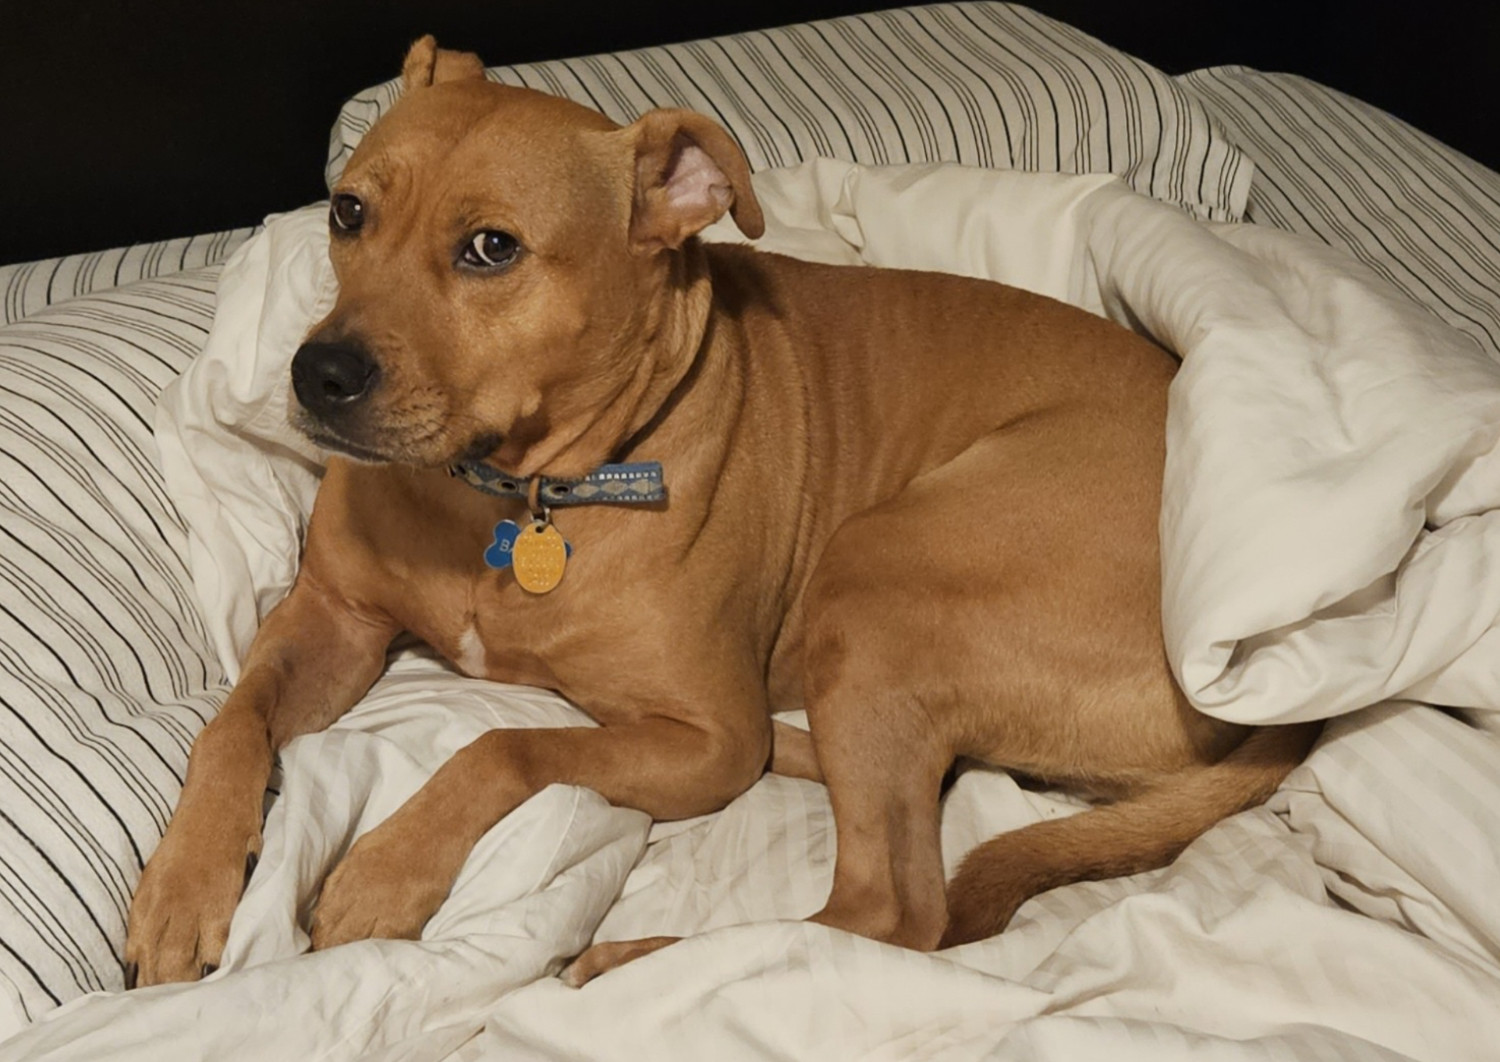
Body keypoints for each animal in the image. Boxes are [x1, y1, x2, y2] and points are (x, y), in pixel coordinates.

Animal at [123, 39, 1320, 990]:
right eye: (348, 212)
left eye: (492, 249)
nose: (318, 375)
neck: (512, 498)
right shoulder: (333, 618)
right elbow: (234, 722)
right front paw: (183, 885)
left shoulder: (703, 736)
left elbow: (509, 746)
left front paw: (382, 869)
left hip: (879, 576)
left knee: (894, 911)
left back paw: (635, 959)